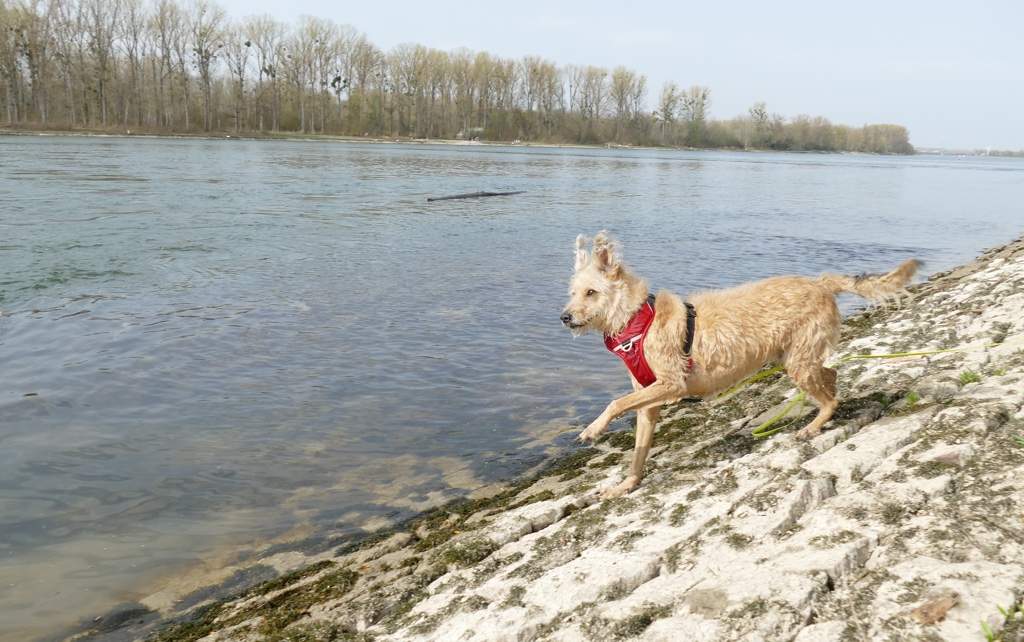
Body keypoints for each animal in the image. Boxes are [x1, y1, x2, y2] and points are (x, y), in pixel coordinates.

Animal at [560, 231, 920, 499]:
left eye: (591, 292)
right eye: (573, 292)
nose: (564, 317)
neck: (636, 322)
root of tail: (821, 283)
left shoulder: (671, 385)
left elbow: (615, 403)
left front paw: (593, 429)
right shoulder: (649, 402)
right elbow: (638, 449)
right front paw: (626, 485)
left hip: (798, 363)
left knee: (829, 397)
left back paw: (814, 424)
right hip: (794, 358)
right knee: (830, 376)